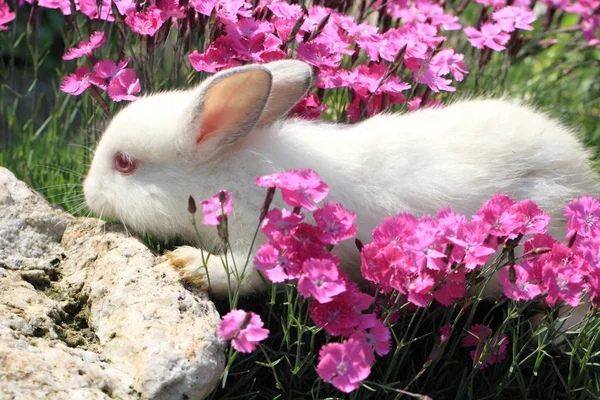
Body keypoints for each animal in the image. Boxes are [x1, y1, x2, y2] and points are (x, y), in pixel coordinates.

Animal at [85, 59, 600, 332]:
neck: (224, 169)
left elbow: (239, 277)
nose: (88, 195)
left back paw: (550, 331)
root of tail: (581, 176)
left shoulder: (259, 244)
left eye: (125, 163)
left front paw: (184, 262)